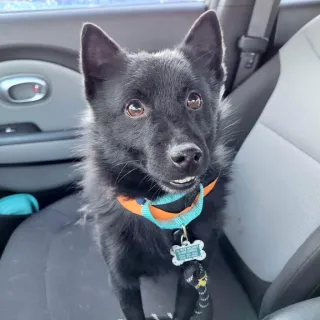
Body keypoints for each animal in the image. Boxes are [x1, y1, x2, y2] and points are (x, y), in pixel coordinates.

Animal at [78, 10, 232, 320]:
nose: (187, 156)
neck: (166, 210)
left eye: (194, 99)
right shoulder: (121, 280)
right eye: (134, 107)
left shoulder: (193, 277)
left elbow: (184, 309)